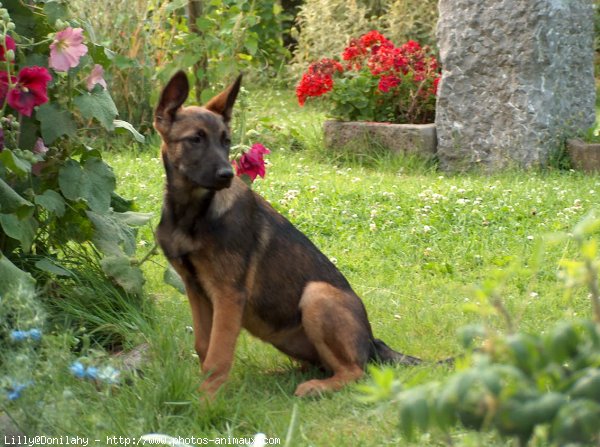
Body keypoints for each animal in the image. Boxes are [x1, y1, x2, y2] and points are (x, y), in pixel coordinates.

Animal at [152, 71, 420, 400]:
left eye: (226, 141)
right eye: (195, 139)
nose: (227, 175)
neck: (193, 213)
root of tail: (373, 342)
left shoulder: (228, 294)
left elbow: (218, 354)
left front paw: (206, 401)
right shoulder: (195, 288)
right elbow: (204, 345)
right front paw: (203, 391)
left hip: (317, 295)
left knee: (354, 372)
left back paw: (315, 387)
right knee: (321, 364)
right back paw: (280, 375)